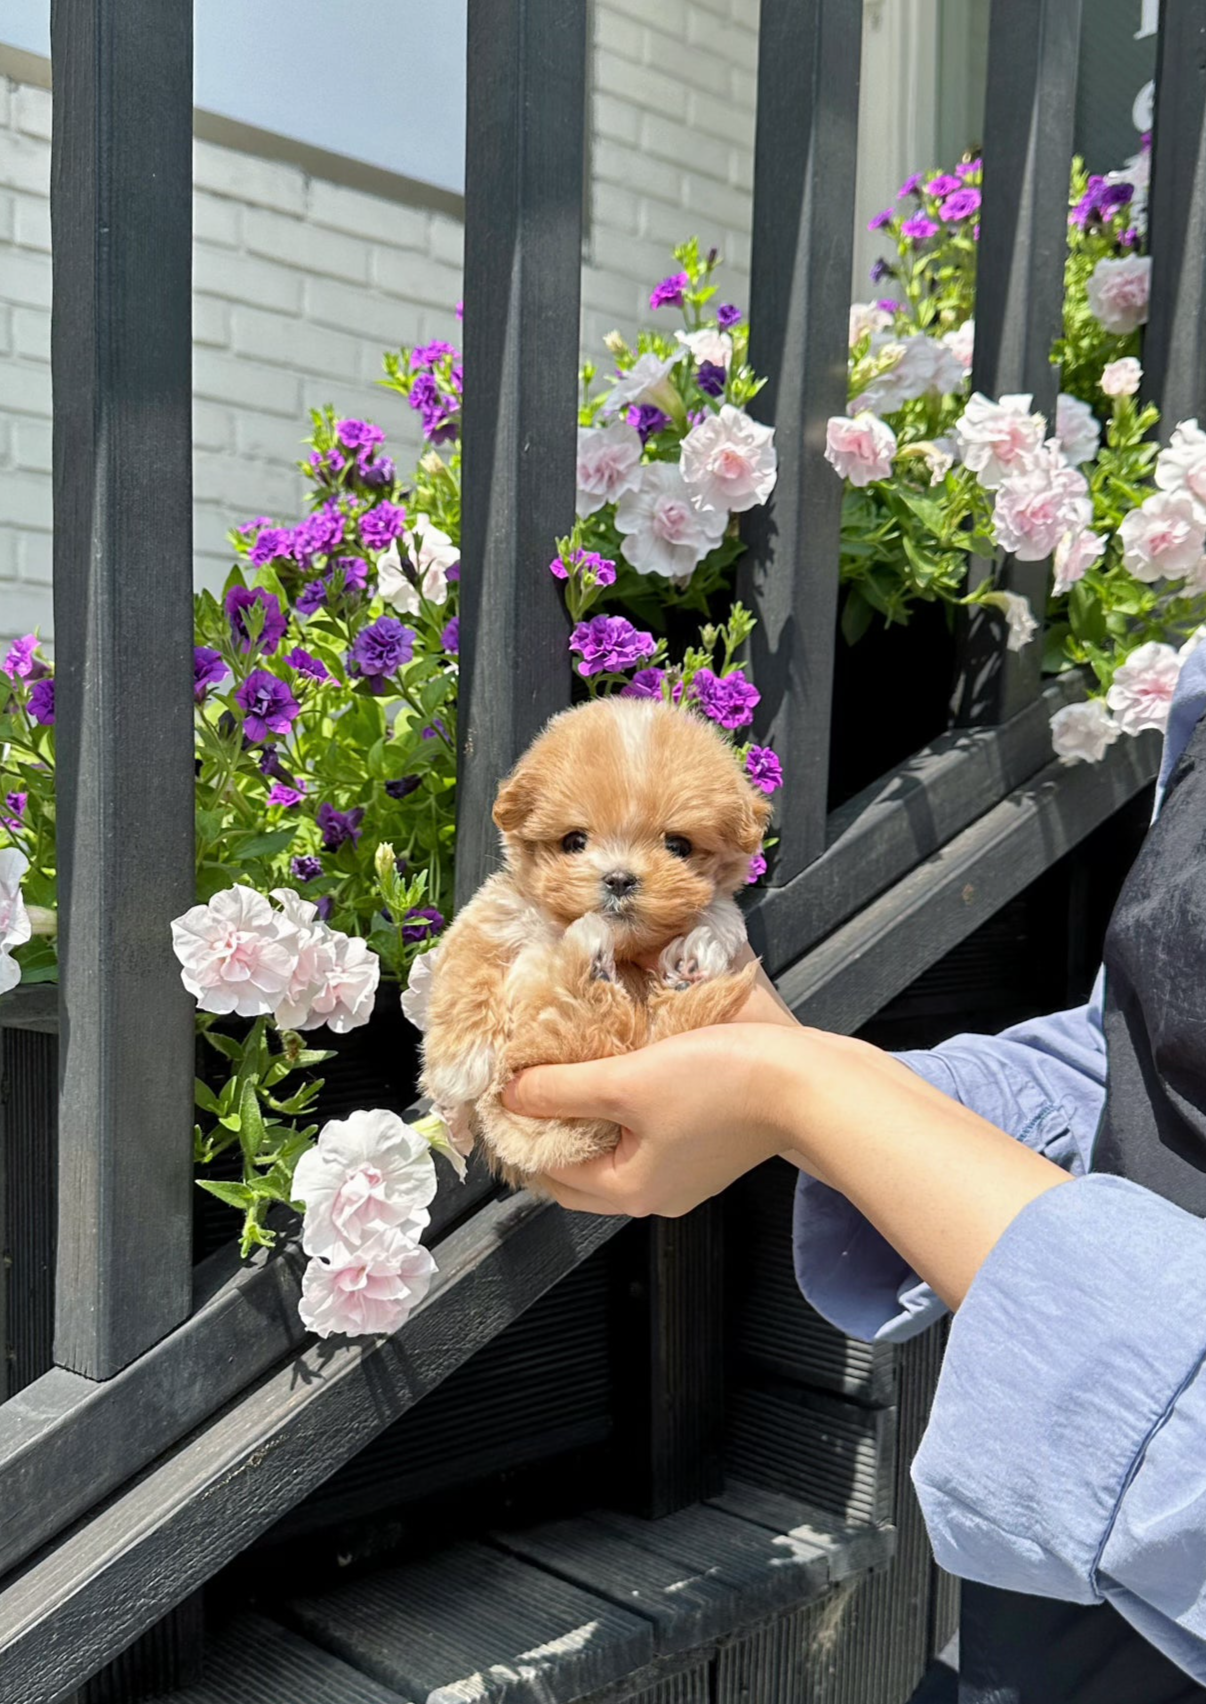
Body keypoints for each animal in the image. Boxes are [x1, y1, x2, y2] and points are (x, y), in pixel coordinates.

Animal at [419, 691, 766, 1185]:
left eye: (678, 846)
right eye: (574, 841)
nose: (619, 878)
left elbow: (722, 911)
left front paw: (702, 937)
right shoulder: (500, 914)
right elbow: (468, 966)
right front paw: (458, 1065)